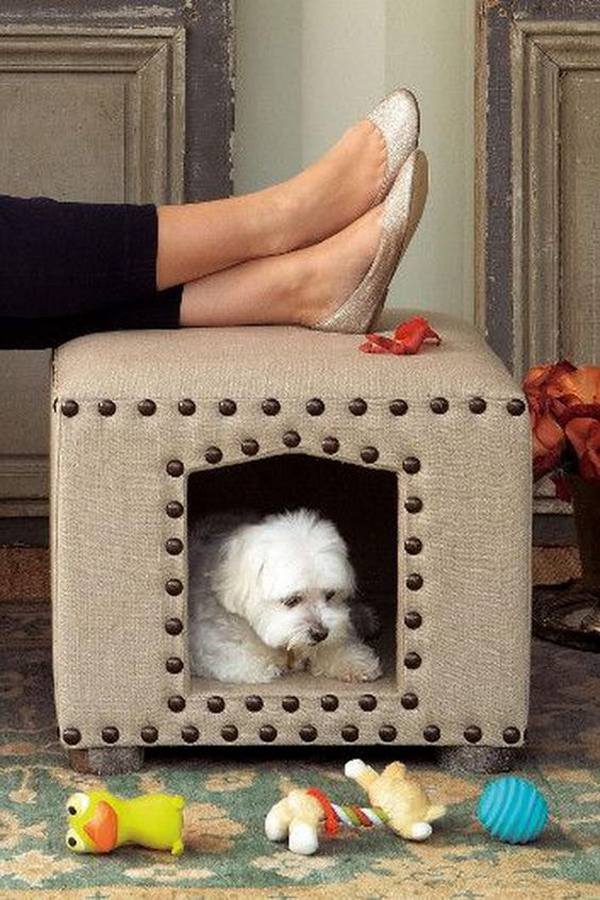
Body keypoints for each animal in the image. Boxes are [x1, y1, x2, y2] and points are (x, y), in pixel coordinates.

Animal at [188, 506, 380, 684]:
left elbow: (334, 644)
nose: (320, 634)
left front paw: (354, 661)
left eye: (330, 594)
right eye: (291, 600)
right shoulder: (207, 643)